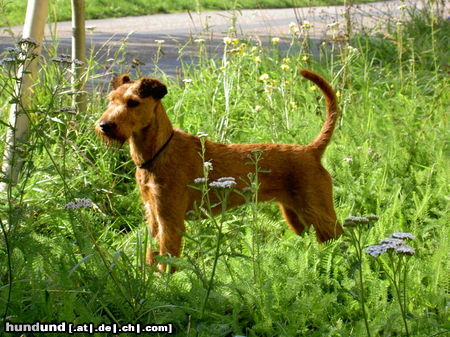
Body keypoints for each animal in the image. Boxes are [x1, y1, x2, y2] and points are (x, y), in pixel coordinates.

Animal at [94, 69, 342, 272]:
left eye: (133, 102)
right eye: (111, 100)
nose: (104, 125)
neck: (158, 152)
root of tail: (311, 150)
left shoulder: (171, 223)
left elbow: (167, 264)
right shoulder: (154, 216)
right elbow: (151, 257)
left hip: (318, 212)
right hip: (296, 217)